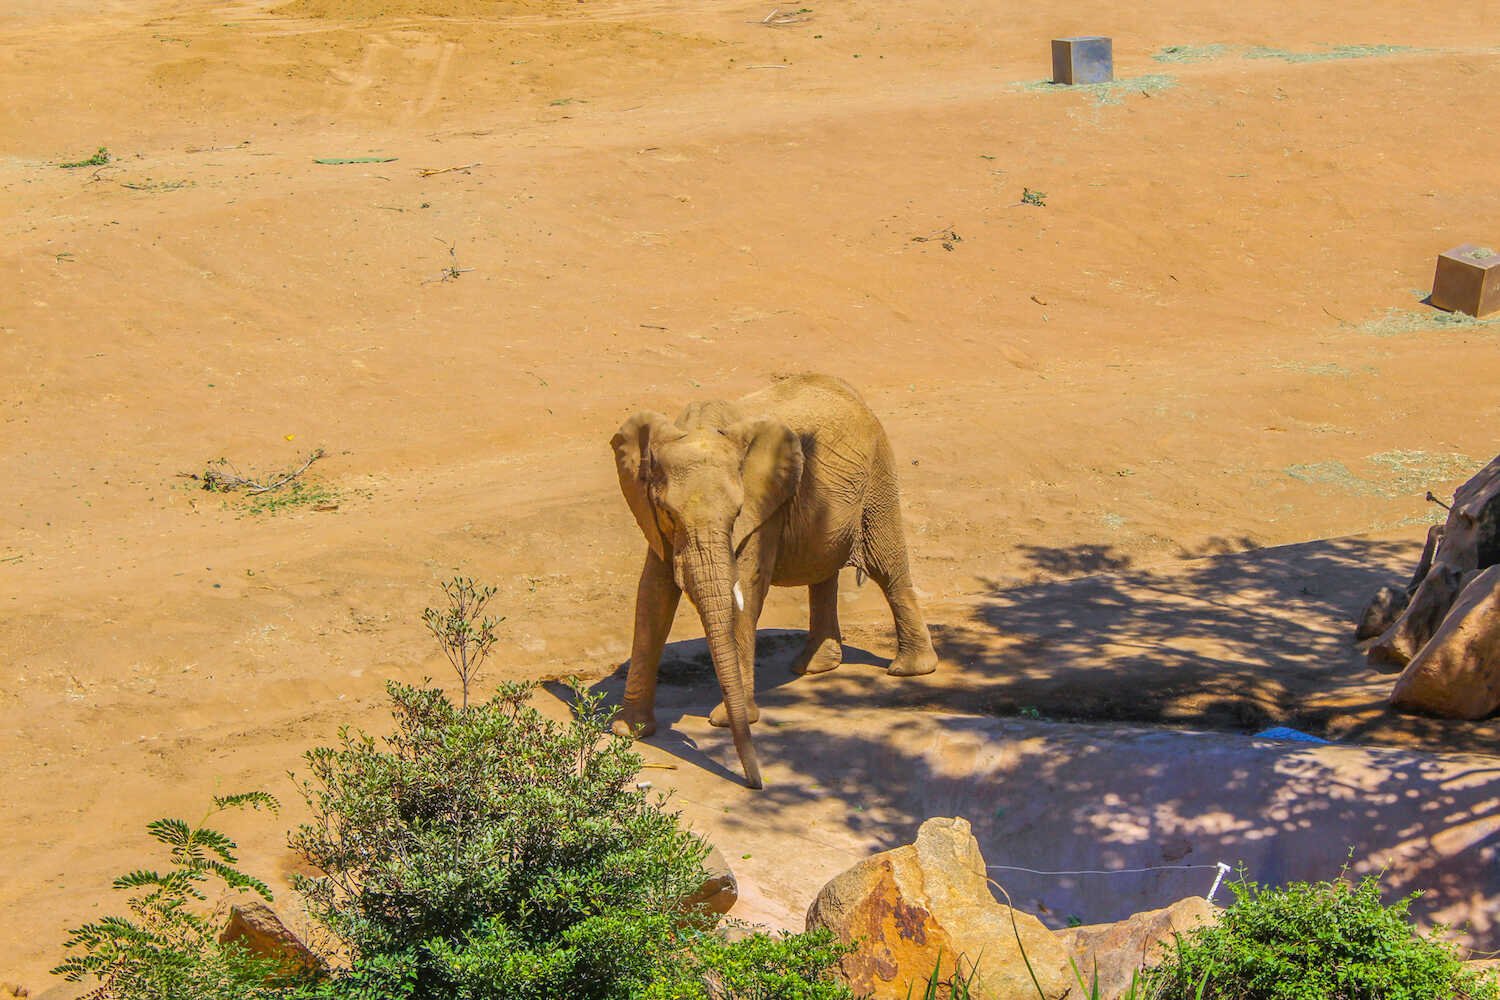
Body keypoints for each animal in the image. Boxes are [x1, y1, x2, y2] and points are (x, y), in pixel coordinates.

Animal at [609, 374, 936, 791]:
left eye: (736, 514)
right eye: (668, 512)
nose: (756, 784)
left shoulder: (764, 510)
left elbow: (747, 588)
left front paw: (725, 720)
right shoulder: (653, 517)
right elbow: (653, 594)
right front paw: (629, 730)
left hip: (878, 476)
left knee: (888, 570)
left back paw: (908, 670)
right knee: (824, 571)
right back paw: (815, 668)